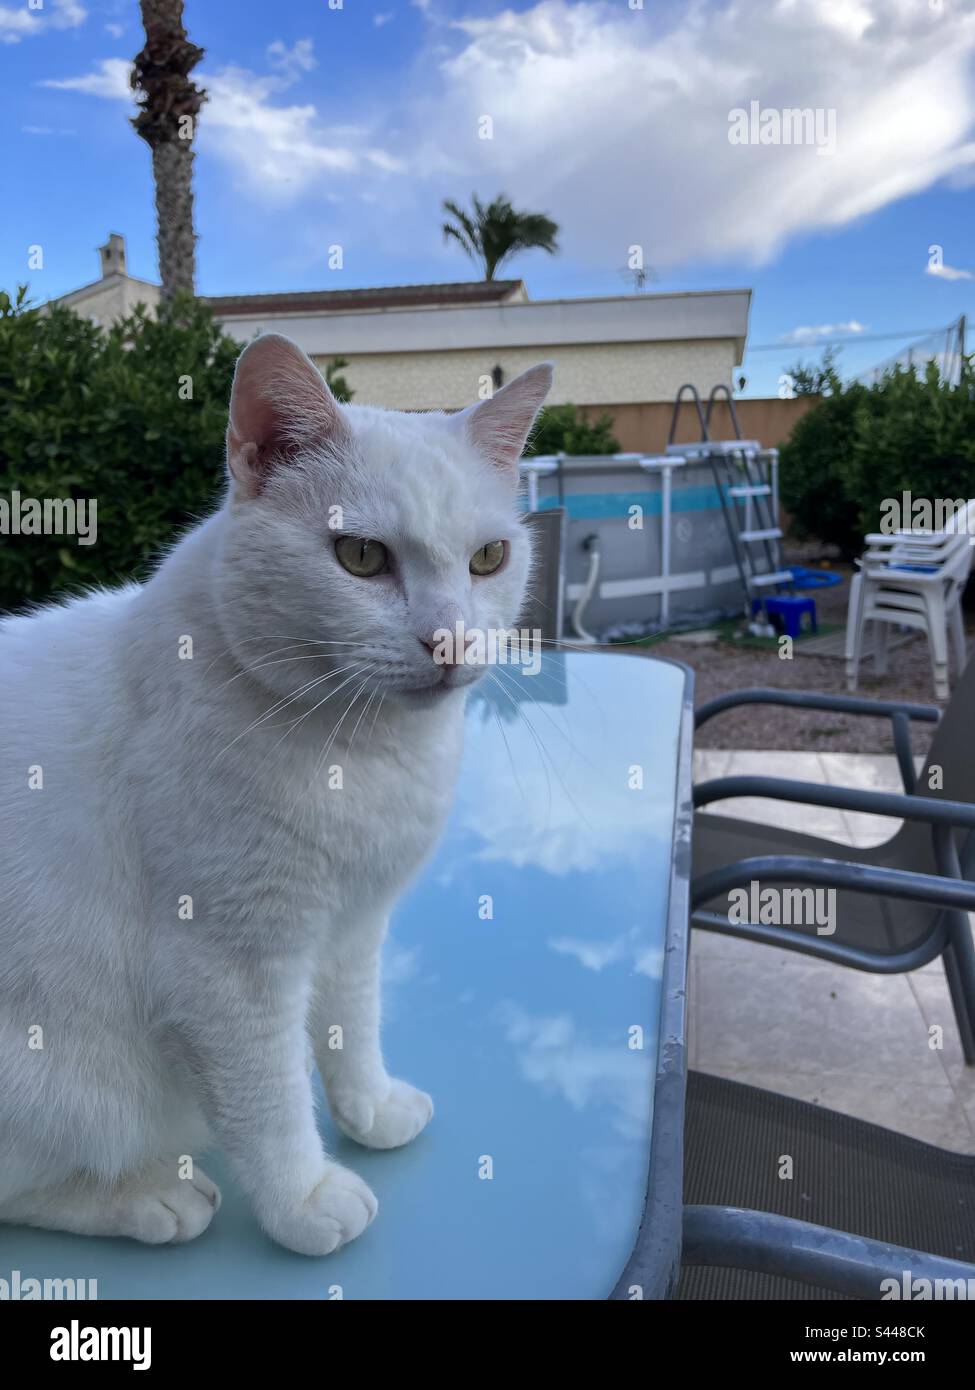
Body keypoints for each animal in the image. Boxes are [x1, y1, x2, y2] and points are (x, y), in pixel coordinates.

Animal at [0, 330, 548, 1256]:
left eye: (487, 559)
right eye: (360, 557)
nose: (449, 641)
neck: (363, 755)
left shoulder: (354, 926)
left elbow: (350, 1026)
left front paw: (370, 1107)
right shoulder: (231, 966)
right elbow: (269, 1095)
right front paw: (303, 1197)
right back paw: (147, 1195)